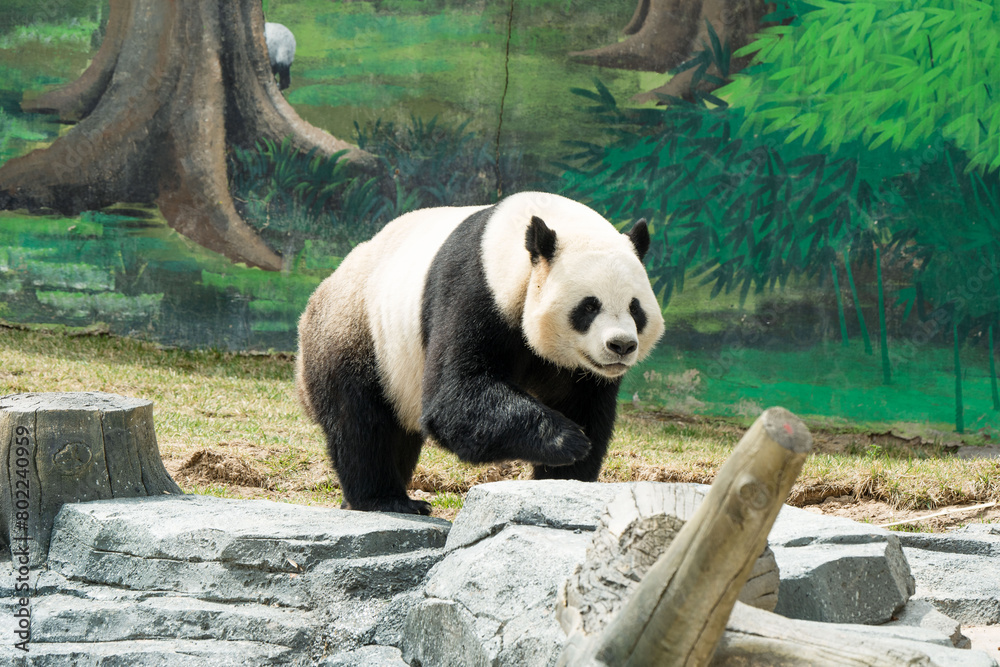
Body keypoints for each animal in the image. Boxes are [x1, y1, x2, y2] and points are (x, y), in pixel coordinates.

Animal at [295, 192, 665, 515]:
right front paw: (567, 441)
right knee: (361, 423)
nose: (621, 345)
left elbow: (586, 405)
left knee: (397, 432)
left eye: (635, 308)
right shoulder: (474, 288)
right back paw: (386, 500)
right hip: (357, 332)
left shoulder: (580, 368)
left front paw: (565, 479)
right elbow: (455, 398)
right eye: (589, 306)